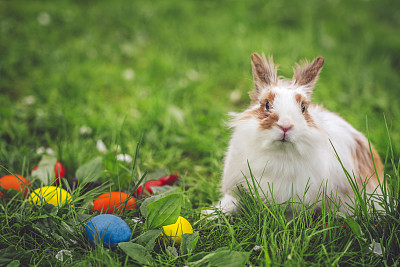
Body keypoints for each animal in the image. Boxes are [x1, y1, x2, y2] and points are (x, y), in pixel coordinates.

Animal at [206, 53, 384, 217]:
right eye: (267, 104)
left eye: (303, 107)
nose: (285, 125)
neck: (279, 154)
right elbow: (231, 203)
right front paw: (207, 215)